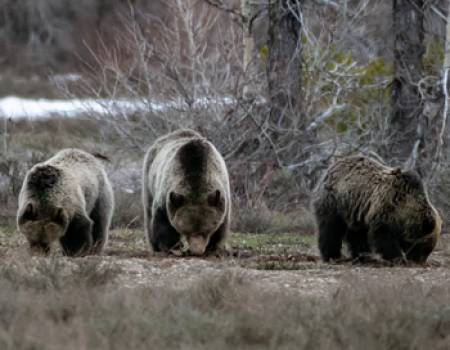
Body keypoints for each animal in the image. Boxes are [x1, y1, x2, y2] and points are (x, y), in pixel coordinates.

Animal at [312, 154, 442, 264]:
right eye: (426, 247)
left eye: (429, 248)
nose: (420, 262)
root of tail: (331, 168)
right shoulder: (386, 209)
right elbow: (384, 237)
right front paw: (397, 258)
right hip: (334, 202)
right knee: (331, 228)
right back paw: (332, 256)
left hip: (355, 212)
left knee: (357, 234)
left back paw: (362, 256)